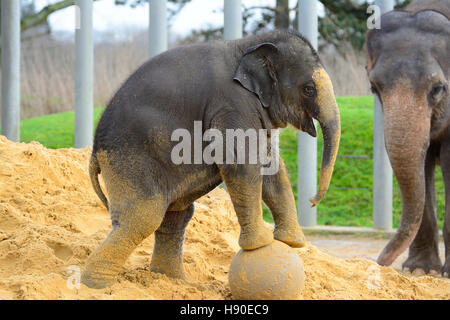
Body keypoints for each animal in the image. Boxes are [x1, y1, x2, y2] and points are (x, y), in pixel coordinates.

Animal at [81, 30, 342, 288]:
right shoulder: (232, 105)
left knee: (175, 216)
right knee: (144, 215)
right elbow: (243, 164)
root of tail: (94, 152)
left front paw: (291, 241)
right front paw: (261, 243)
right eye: (308, 89)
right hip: (128, 161)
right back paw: (97, 286)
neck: (248, 43)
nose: (312, 201)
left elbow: (270, 165)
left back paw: (176, 282)